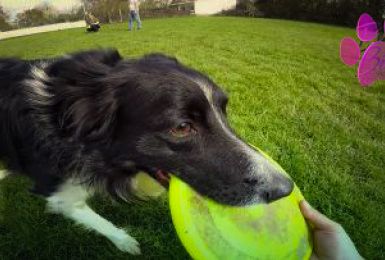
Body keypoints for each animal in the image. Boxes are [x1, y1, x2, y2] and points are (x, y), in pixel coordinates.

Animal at [0, 48, 292, 254]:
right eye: (182, 127)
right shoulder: (58, 192)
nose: (285, 189)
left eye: (224, 111)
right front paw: (125, 241)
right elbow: (90, 217)